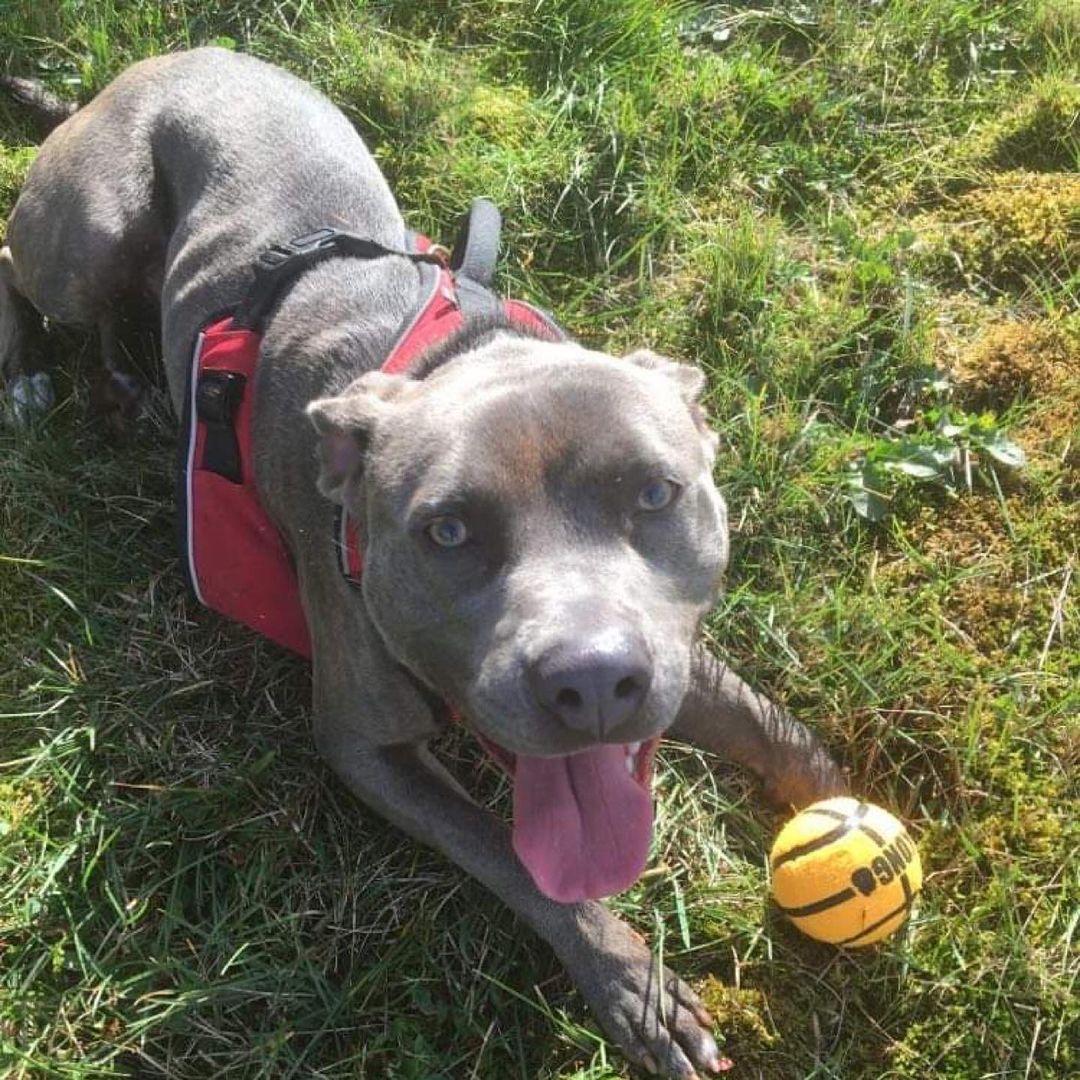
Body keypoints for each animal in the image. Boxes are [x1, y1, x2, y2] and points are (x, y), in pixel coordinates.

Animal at [0, 48, 842, 1071]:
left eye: (654, 494)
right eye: (447, 532)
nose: (593, 682)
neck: (458, 357)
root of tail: (143, 68)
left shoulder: (683, 661)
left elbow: (776, 730)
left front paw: (864, 813)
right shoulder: (368, 749)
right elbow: (518, 860)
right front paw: (630, 983)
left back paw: (120, 384)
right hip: (88, 237)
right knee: (18, 265)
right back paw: (28, 373)